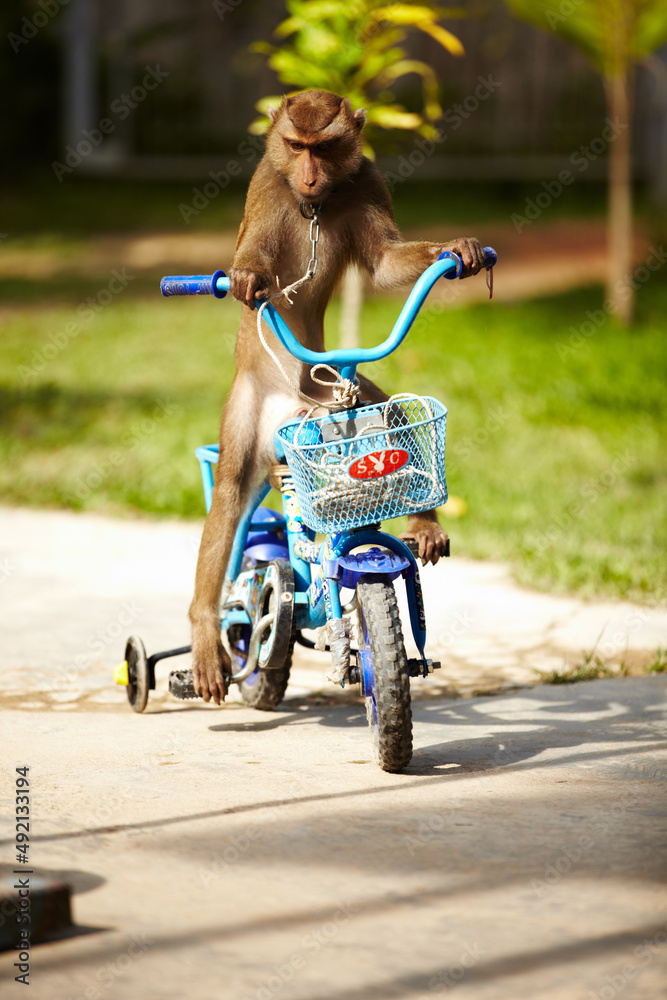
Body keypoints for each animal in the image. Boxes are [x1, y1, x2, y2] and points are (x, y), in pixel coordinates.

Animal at [190, 92, 488, 704]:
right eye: (295, 145)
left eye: (324, 148)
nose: (307, 174)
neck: (314, 205)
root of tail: (296, 403)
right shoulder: (267, 186)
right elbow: (252, 256)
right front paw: (247, 277)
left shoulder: (366, 178)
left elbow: (387, 264)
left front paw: (457, 250)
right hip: (254, 409)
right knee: (229, 496)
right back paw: (209, 636)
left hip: (338, 389)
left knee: (386, 403)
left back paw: (423, 521)